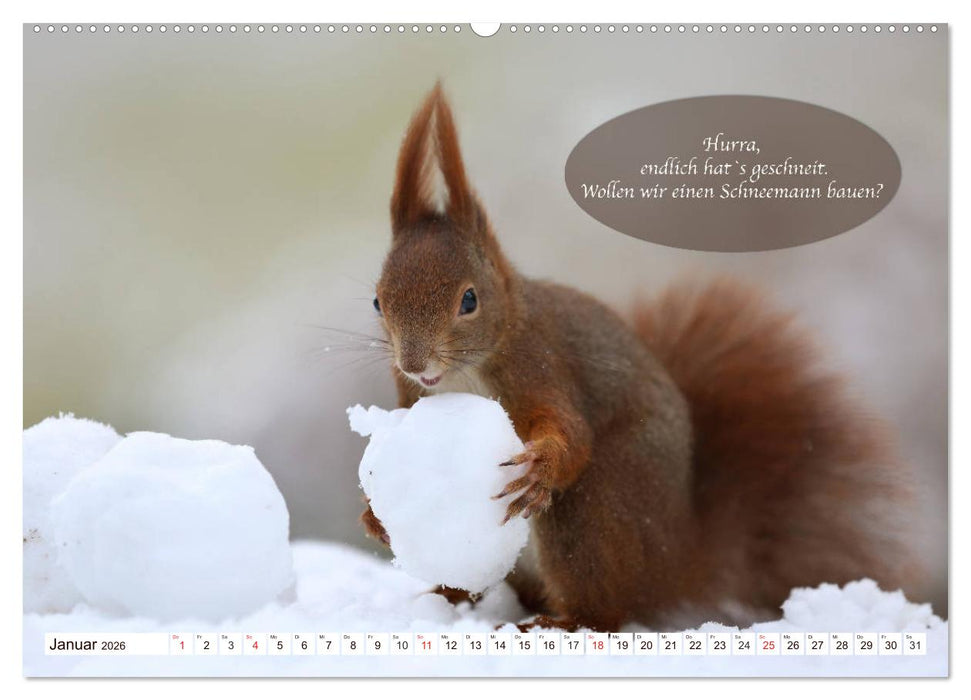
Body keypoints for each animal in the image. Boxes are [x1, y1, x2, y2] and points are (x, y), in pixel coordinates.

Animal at [360, 84, 921, 632]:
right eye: (378, 301)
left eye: (469, 300)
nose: (414, 363)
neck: (470, 367)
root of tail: (678, 564)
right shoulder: (410, 396)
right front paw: (373, 512)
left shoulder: (540, 364)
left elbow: (569, 431)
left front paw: (542, 463)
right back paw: (448, 599)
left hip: (593, 509)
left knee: (606, 608)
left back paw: (560, 621)